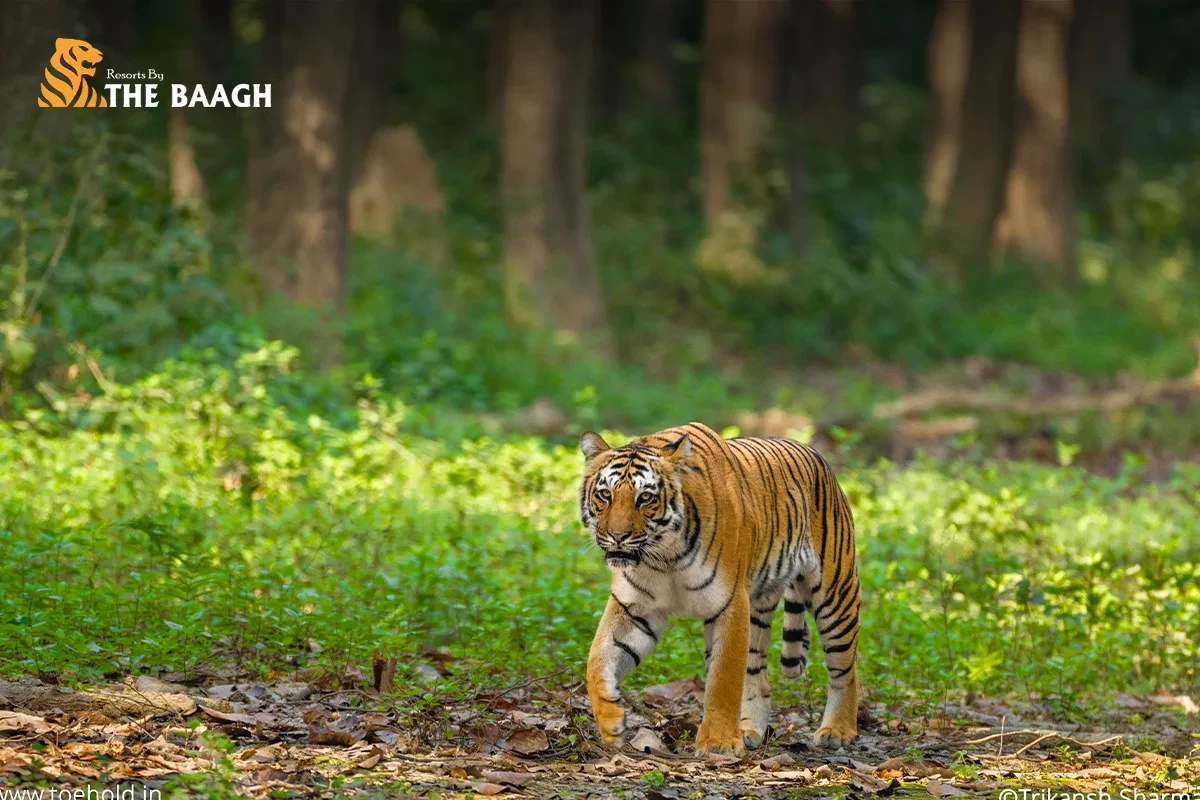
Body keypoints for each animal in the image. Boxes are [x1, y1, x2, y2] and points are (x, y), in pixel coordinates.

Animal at [578, 422, 861, 756]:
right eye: (605, 495)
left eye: (645, 497)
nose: (617, 536)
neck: (664, 557)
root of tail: (814, 454)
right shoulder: (634, 608)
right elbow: (597, 659)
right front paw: (610, 721)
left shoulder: (730, 603)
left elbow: (723, 679)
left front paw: (719, 743)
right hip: (759, 607)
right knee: (757, 673)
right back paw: (750, 730)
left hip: (836, 593)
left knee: (845, 669)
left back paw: (837, 731)